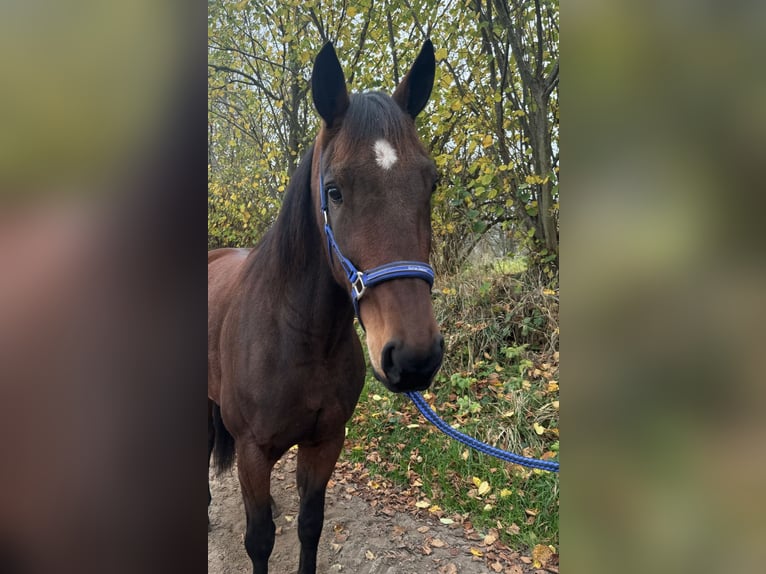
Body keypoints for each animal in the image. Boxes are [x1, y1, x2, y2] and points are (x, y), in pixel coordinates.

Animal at [207, 41, 448, 574]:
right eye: (334, 190)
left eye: (431, 183)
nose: (414, 357)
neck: (299, 337)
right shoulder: (253, 451)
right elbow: (260, 540)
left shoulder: (325, 442)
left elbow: (309, 526)